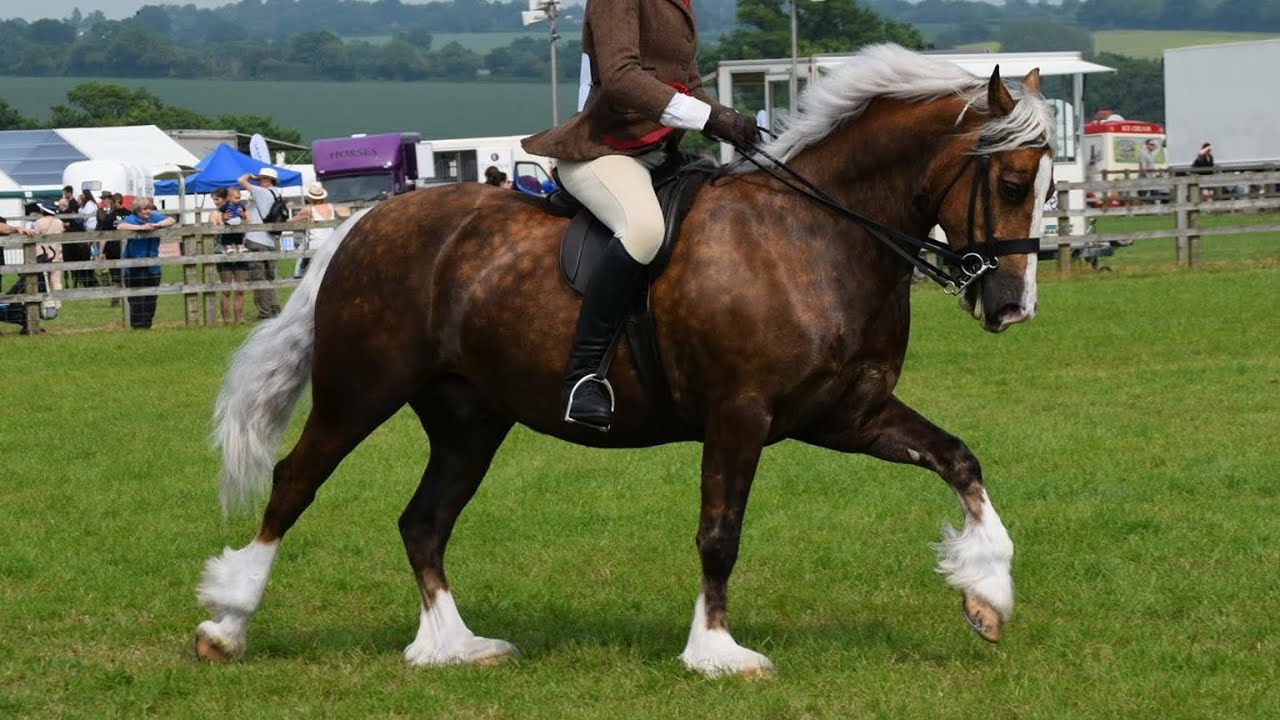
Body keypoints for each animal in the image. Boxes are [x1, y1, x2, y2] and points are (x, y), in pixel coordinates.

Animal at [194, 44, 1055, 678]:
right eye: (1015, 181)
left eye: (1048, 187)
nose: (1012, 306)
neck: (814, 235)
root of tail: (364, 224)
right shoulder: (739, 414)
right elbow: (720, 533)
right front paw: (717, 654)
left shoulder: (847, 412)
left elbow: (959, 459)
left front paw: (988, 594)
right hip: (360, 392)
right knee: (294, 484)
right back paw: (227, 623)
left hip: (469, 419)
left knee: (424, 522)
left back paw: (453, 647)